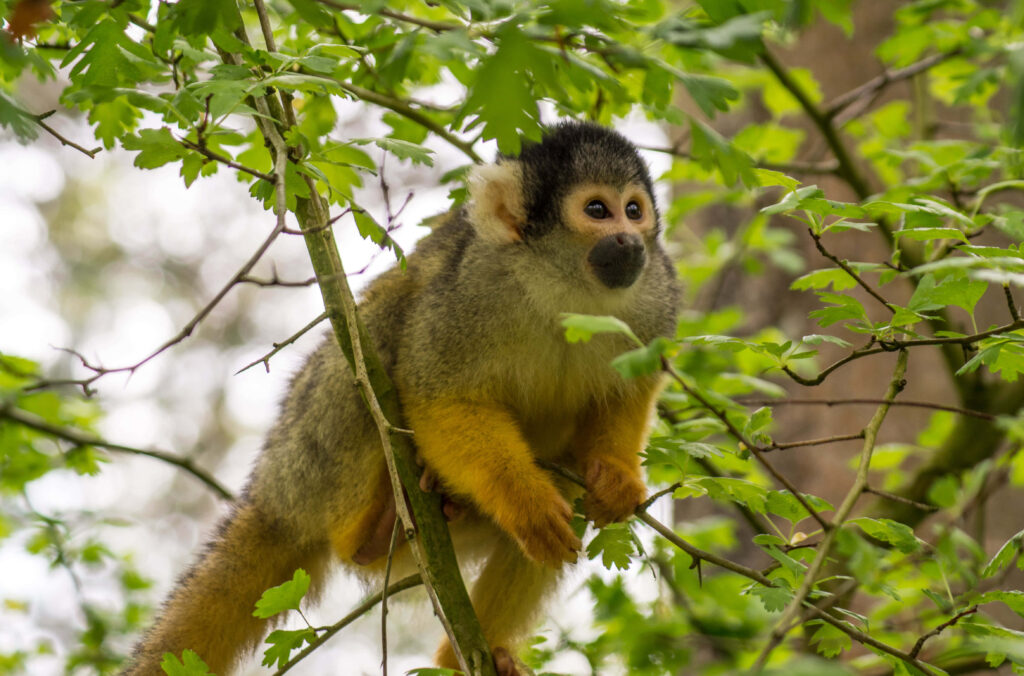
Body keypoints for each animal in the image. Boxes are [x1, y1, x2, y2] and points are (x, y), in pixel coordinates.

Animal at [124, 120, 680, 675]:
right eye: (597, 210)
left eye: (634, 209)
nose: (630, 239)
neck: (566, 289)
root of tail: (273, 494)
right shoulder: (471, 285)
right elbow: (439, 394)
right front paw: (528, 505)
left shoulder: (657, 291)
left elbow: (632, 389)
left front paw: (615, 475)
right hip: (308, 457)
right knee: (374, 331)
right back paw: (372, 530)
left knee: (564, 484)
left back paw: (471, 653)